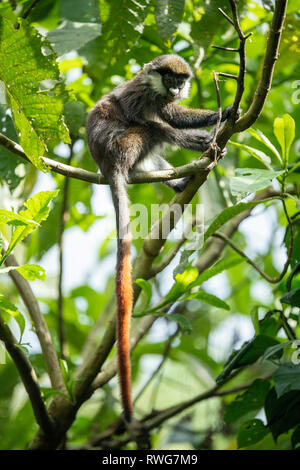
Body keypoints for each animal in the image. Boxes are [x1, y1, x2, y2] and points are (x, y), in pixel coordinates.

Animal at [86, 55, 234, 422]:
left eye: (181, 80)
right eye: (170, 78)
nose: (177, 88)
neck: (154, 87)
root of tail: (108, 165)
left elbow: (172, 115)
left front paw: (225, 113)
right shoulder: (139, 95)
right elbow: (161, 119)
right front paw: (211, 129)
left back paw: (181, 180)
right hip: (125, 145)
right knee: (152, 129)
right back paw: (200, 149)